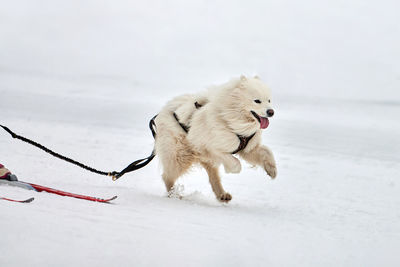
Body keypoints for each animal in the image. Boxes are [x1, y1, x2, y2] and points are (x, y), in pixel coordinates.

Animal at [155, 75, 276, 203]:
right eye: (257, 101)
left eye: (269, 100)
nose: (271, 112)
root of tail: (165, 109)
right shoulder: (210, 148)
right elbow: (235, 163)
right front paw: (231, 169)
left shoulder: (248, 149)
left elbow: (267, 151)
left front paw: (272, 170)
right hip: (180, 156)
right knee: (167, 176)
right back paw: (174, 195)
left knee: (213, 177)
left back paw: (222, 195)